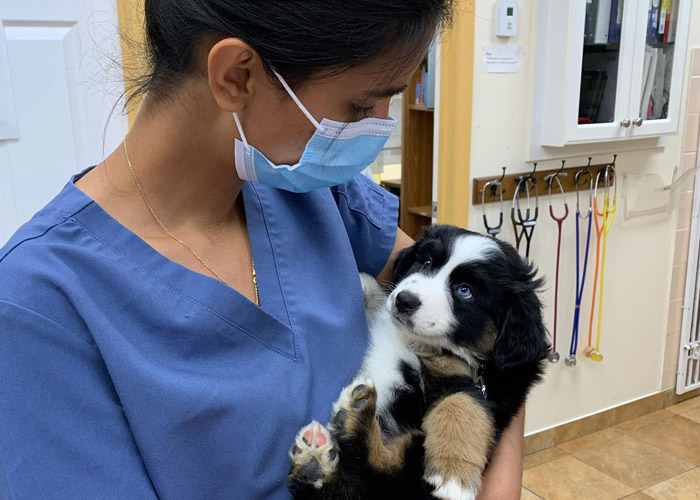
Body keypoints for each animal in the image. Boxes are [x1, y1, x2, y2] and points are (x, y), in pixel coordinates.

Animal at [288, 226, 548, 500]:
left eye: (465, 290)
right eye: (426, 262)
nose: (404, 300)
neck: (420, 343)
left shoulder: (478, 385)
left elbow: (463, 405)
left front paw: (453, 474)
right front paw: (364, 283)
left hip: (410, 464)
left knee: (384, 475)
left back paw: (352, 422)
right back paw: (316, 463)